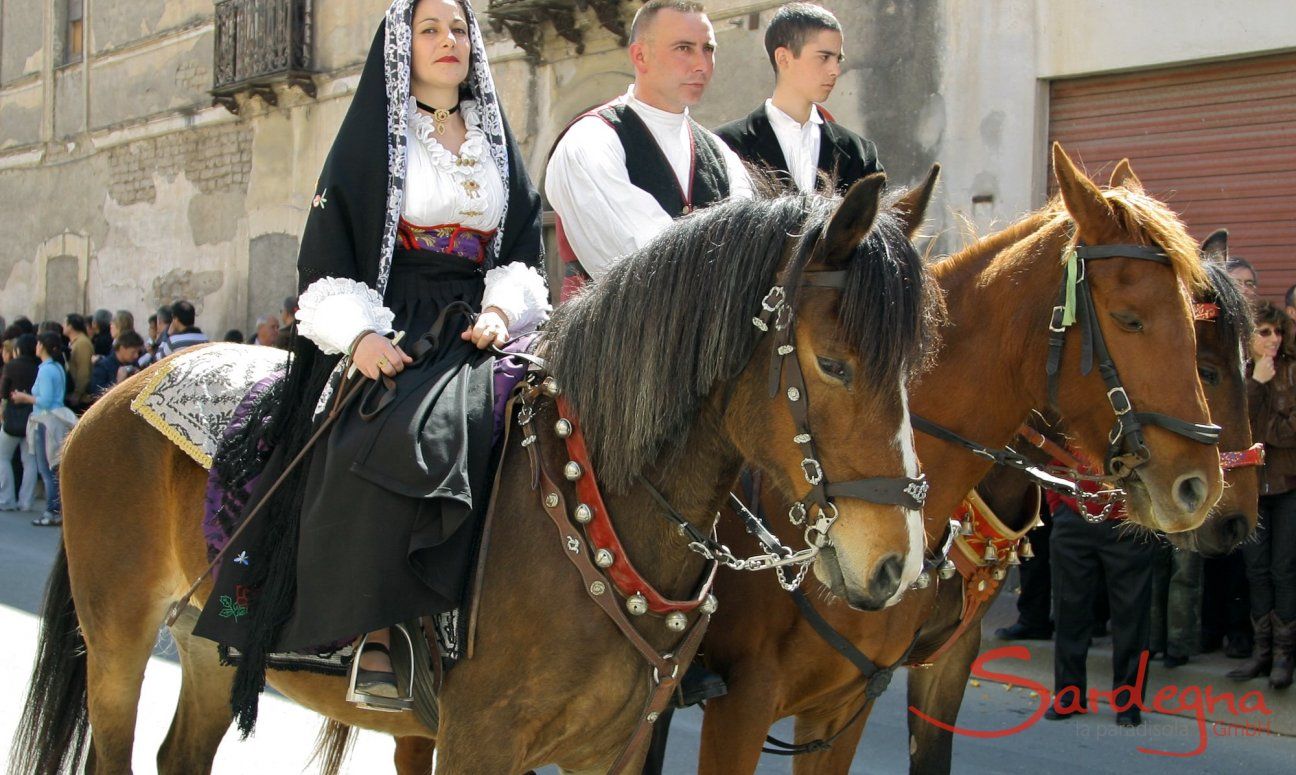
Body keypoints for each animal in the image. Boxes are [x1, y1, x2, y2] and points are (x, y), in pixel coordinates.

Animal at [10, 177, 943, 775]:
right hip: (119, 641)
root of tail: (115, 395)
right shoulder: (478, 743)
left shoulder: (612, 749)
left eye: (914, 367)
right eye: (832, 362)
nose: (895, 564)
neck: (586, 501)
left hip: (206, 642)